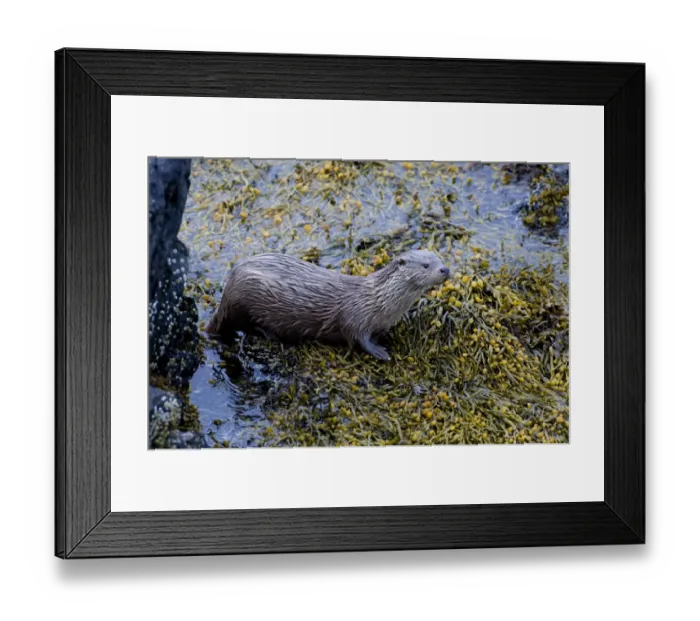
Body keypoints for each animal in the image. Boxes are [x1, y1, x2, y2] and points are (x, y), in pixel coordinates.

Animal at [206, 249, 450, 361]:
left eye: (440, 259)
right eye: (426, 265)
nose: (445, 269)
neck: (380, 302)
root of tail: (228, 289)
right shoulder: (355, 317)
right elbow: (358, 339)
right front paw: (380, 352)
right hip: (243, 299)